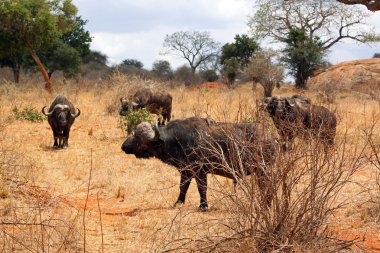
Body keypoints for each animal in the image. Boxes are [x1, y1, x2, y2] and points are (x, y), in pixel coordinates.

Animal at [121, 117, 276, 211]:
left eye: (137, 138)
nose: (123, 146)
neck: (177, 139)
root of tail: (271, 136)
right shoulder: (186, 171)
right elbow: (183, 187)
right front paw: (178, 202)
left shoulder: (200, 171)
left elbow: (202, 188)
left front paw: (203, 206)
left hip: (264, 170)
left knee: (268, 187)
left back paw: (266, 205)